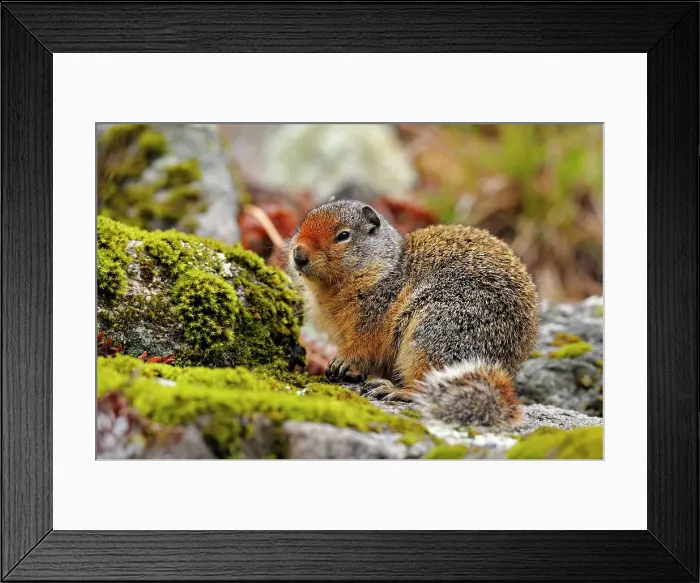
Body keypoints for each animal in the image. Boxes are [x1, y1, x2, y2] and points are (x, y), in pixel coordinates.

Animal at [286, 199, 540, 428]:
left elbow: (362, 344)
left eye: (343, 235)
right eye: (304, 223)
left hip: (435, 331)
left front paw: (342, 361)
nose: (298, 255)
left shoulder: (374, 313)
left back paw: (392, 390)